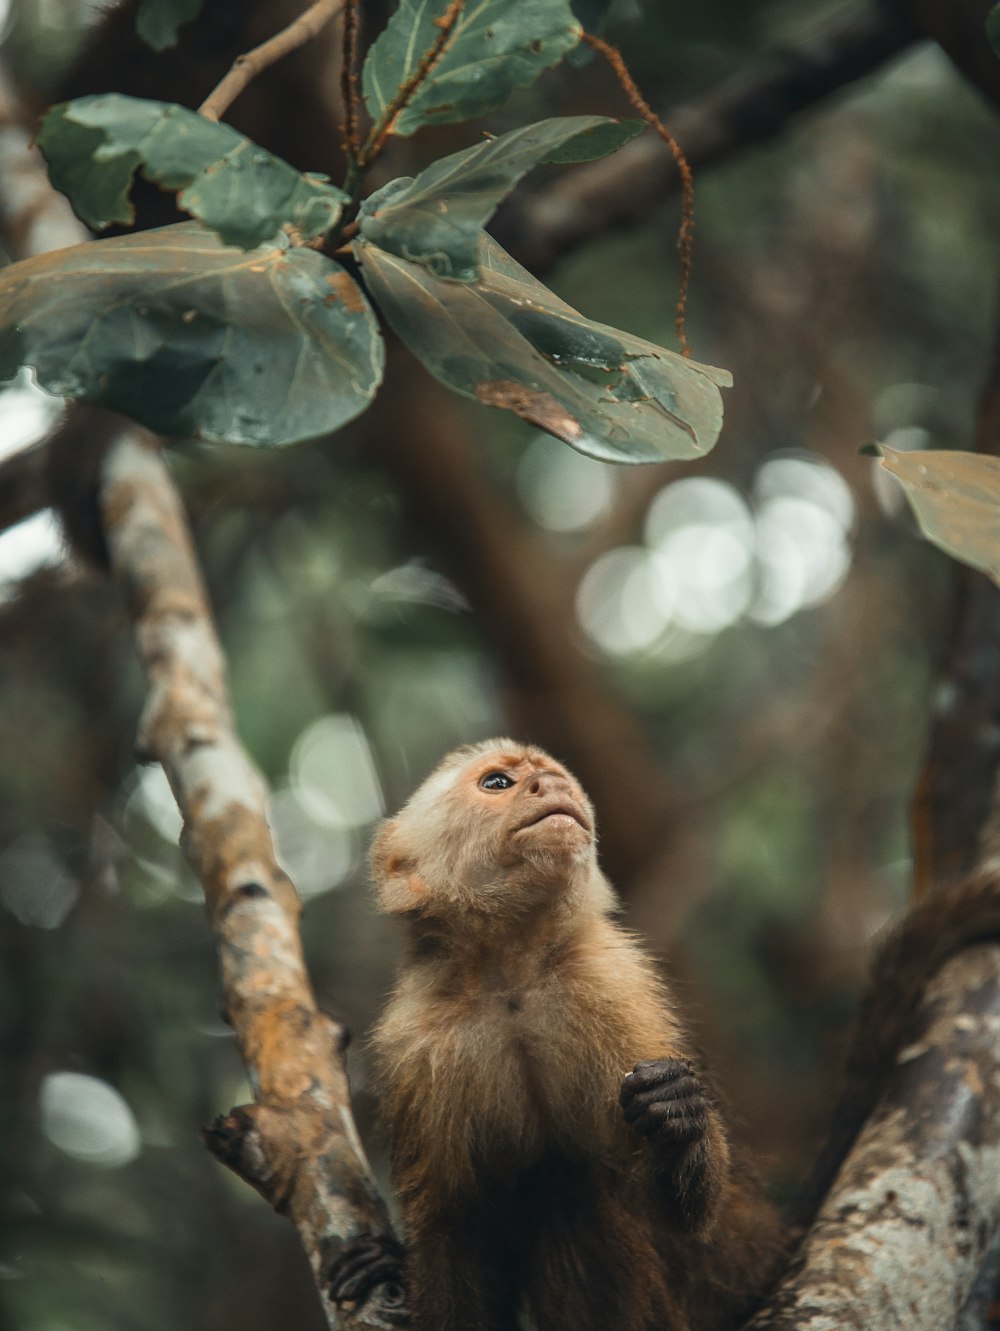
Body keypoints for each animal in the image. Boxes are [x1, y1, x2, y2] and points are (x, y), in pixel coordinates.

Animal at [328, 740, 782, 1331]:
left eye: (554, 776)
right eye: (497, 783)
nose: (553, 786)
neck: (510, 977)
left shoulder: (617, 986)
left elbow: (683, 1215)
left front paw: (678, 1114)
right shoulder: (412, 1043)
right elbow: (455, 1231)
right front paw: (396, 1260)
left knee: (571, 1191)